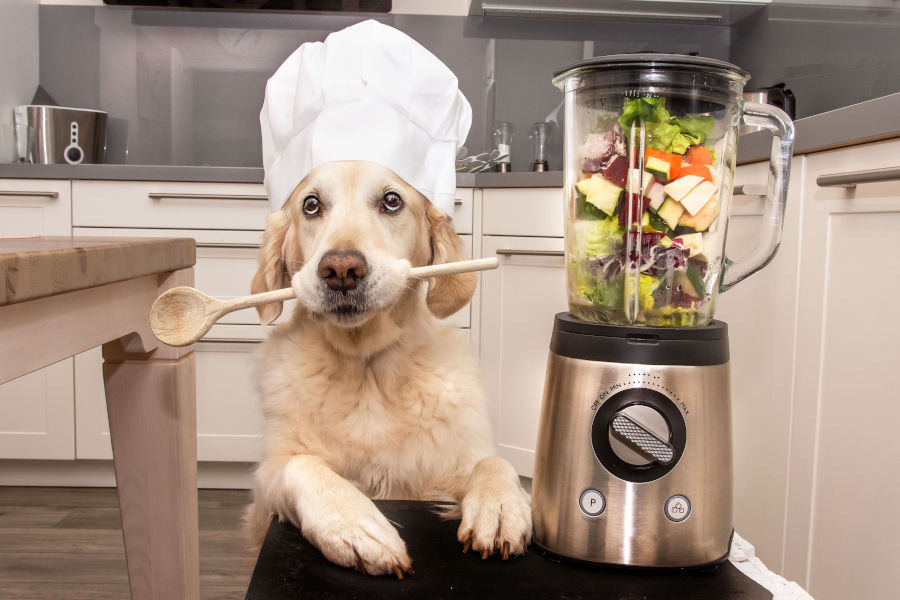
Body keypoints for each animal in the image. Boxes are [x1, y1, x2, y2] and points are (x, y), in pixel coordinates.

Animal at [243, 159, 532, 576]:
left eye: (392, 201)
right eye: (311, 205)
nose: (340, 269)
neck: (367, 366)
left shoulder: (453, 463)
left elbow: (494, 461)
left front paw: (500, 508)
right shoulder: (267, 483)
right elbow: (301, 464)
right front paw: (355, 523)